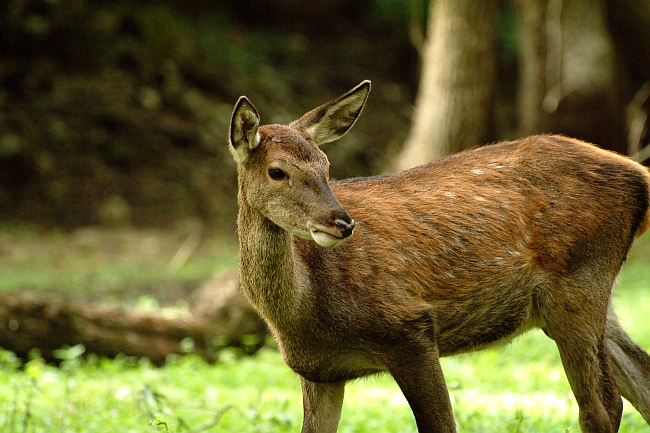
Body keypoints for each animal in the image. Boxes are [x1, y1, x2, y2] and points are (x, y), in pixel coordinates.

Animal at [227, 80, 648, 432]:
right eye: (277, 171)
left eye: (327, 167)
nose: (342, 223)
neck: (306, 313)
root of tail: (639, 175)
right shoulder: (319, 373)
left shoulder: (409, 328)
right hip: (585, 297)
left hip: (578, 281)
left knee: (603, 406)